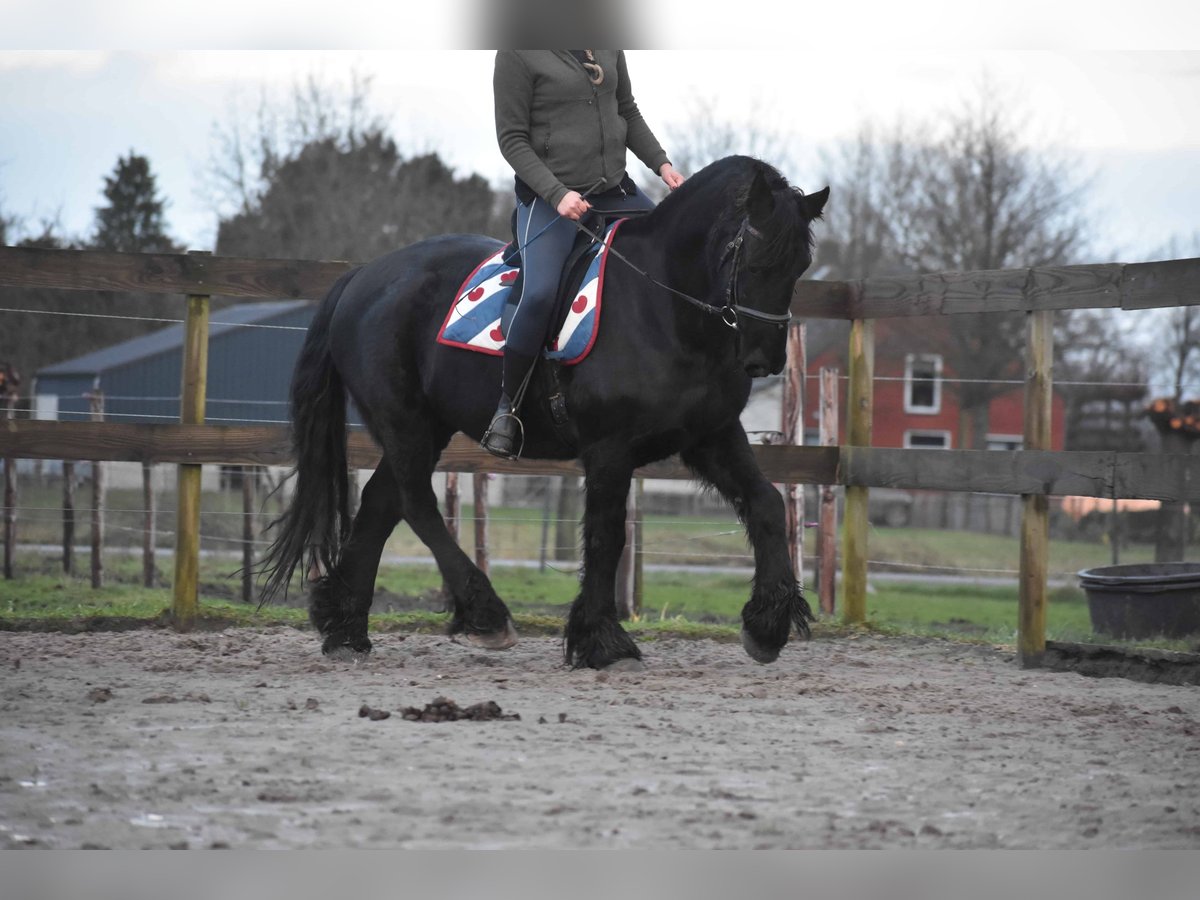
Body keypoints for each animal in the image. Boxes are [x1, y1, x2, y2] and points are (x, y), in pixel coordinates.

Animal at [258, 155, 829, 670]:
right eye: (753, 257)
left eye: (800, 265)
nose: (764, 358)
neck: (664, 307)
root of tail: (363, 275)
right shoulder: (609, 449)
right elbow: (605, 536)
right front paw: (603, 642)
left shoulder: (712, 434)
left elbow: (766, 504)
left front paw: (767, 625)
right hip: (404, 422)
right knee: (417, 503)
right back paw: (485, 614)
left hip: (425, 426)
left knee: (382, 502)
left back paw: (345, 628)